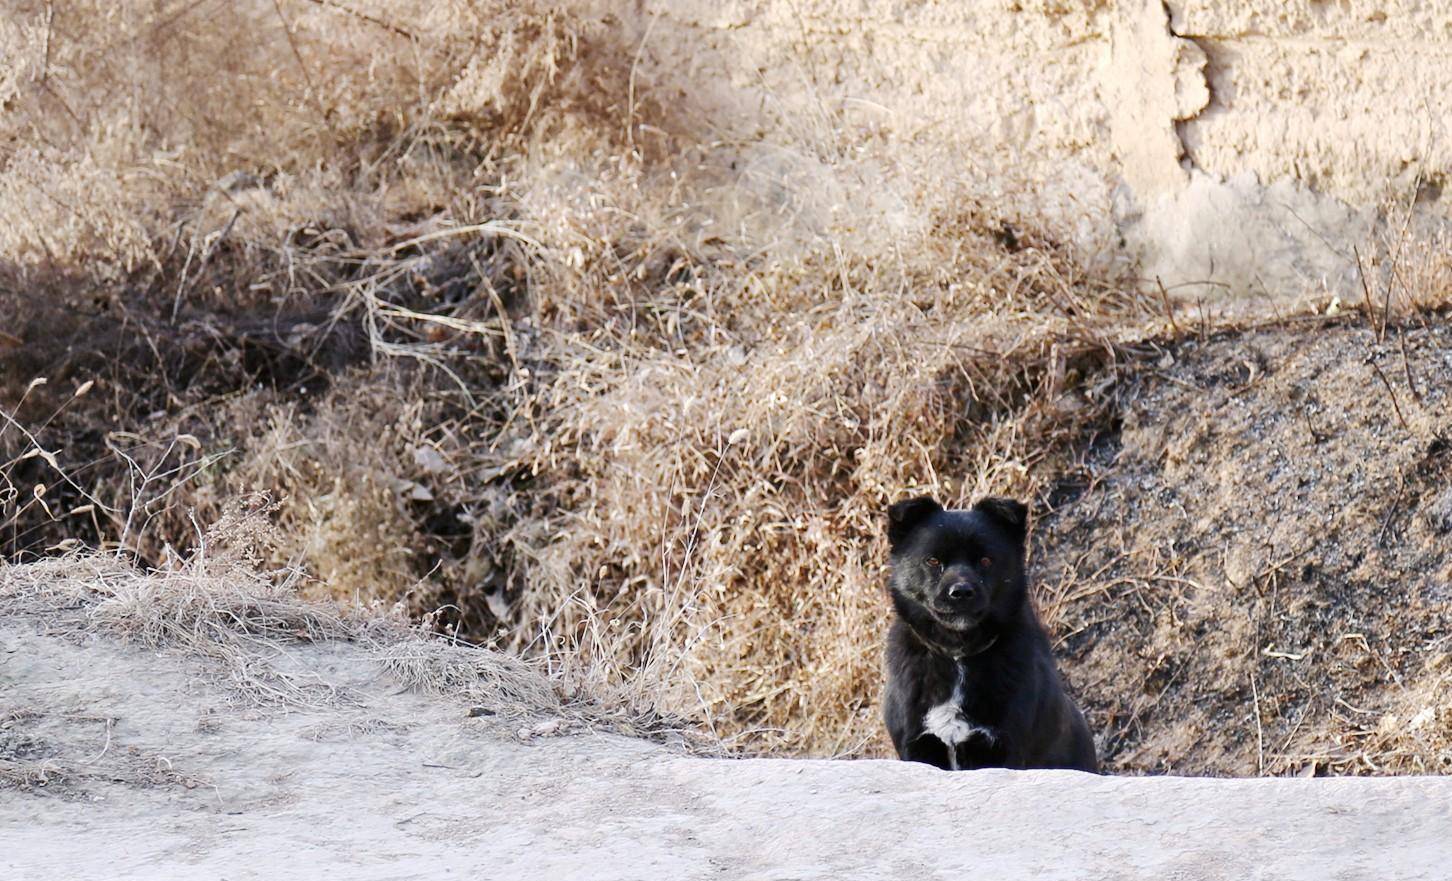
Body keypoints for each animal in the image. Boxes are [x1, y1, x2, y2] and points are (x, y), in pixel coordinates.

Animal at [877, 496, 1091, 772]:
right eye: (932, 561)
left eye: (986, 560)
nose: (961, 592)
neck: (958, 657)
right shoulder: (916, 746)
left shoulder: (1003, 748)